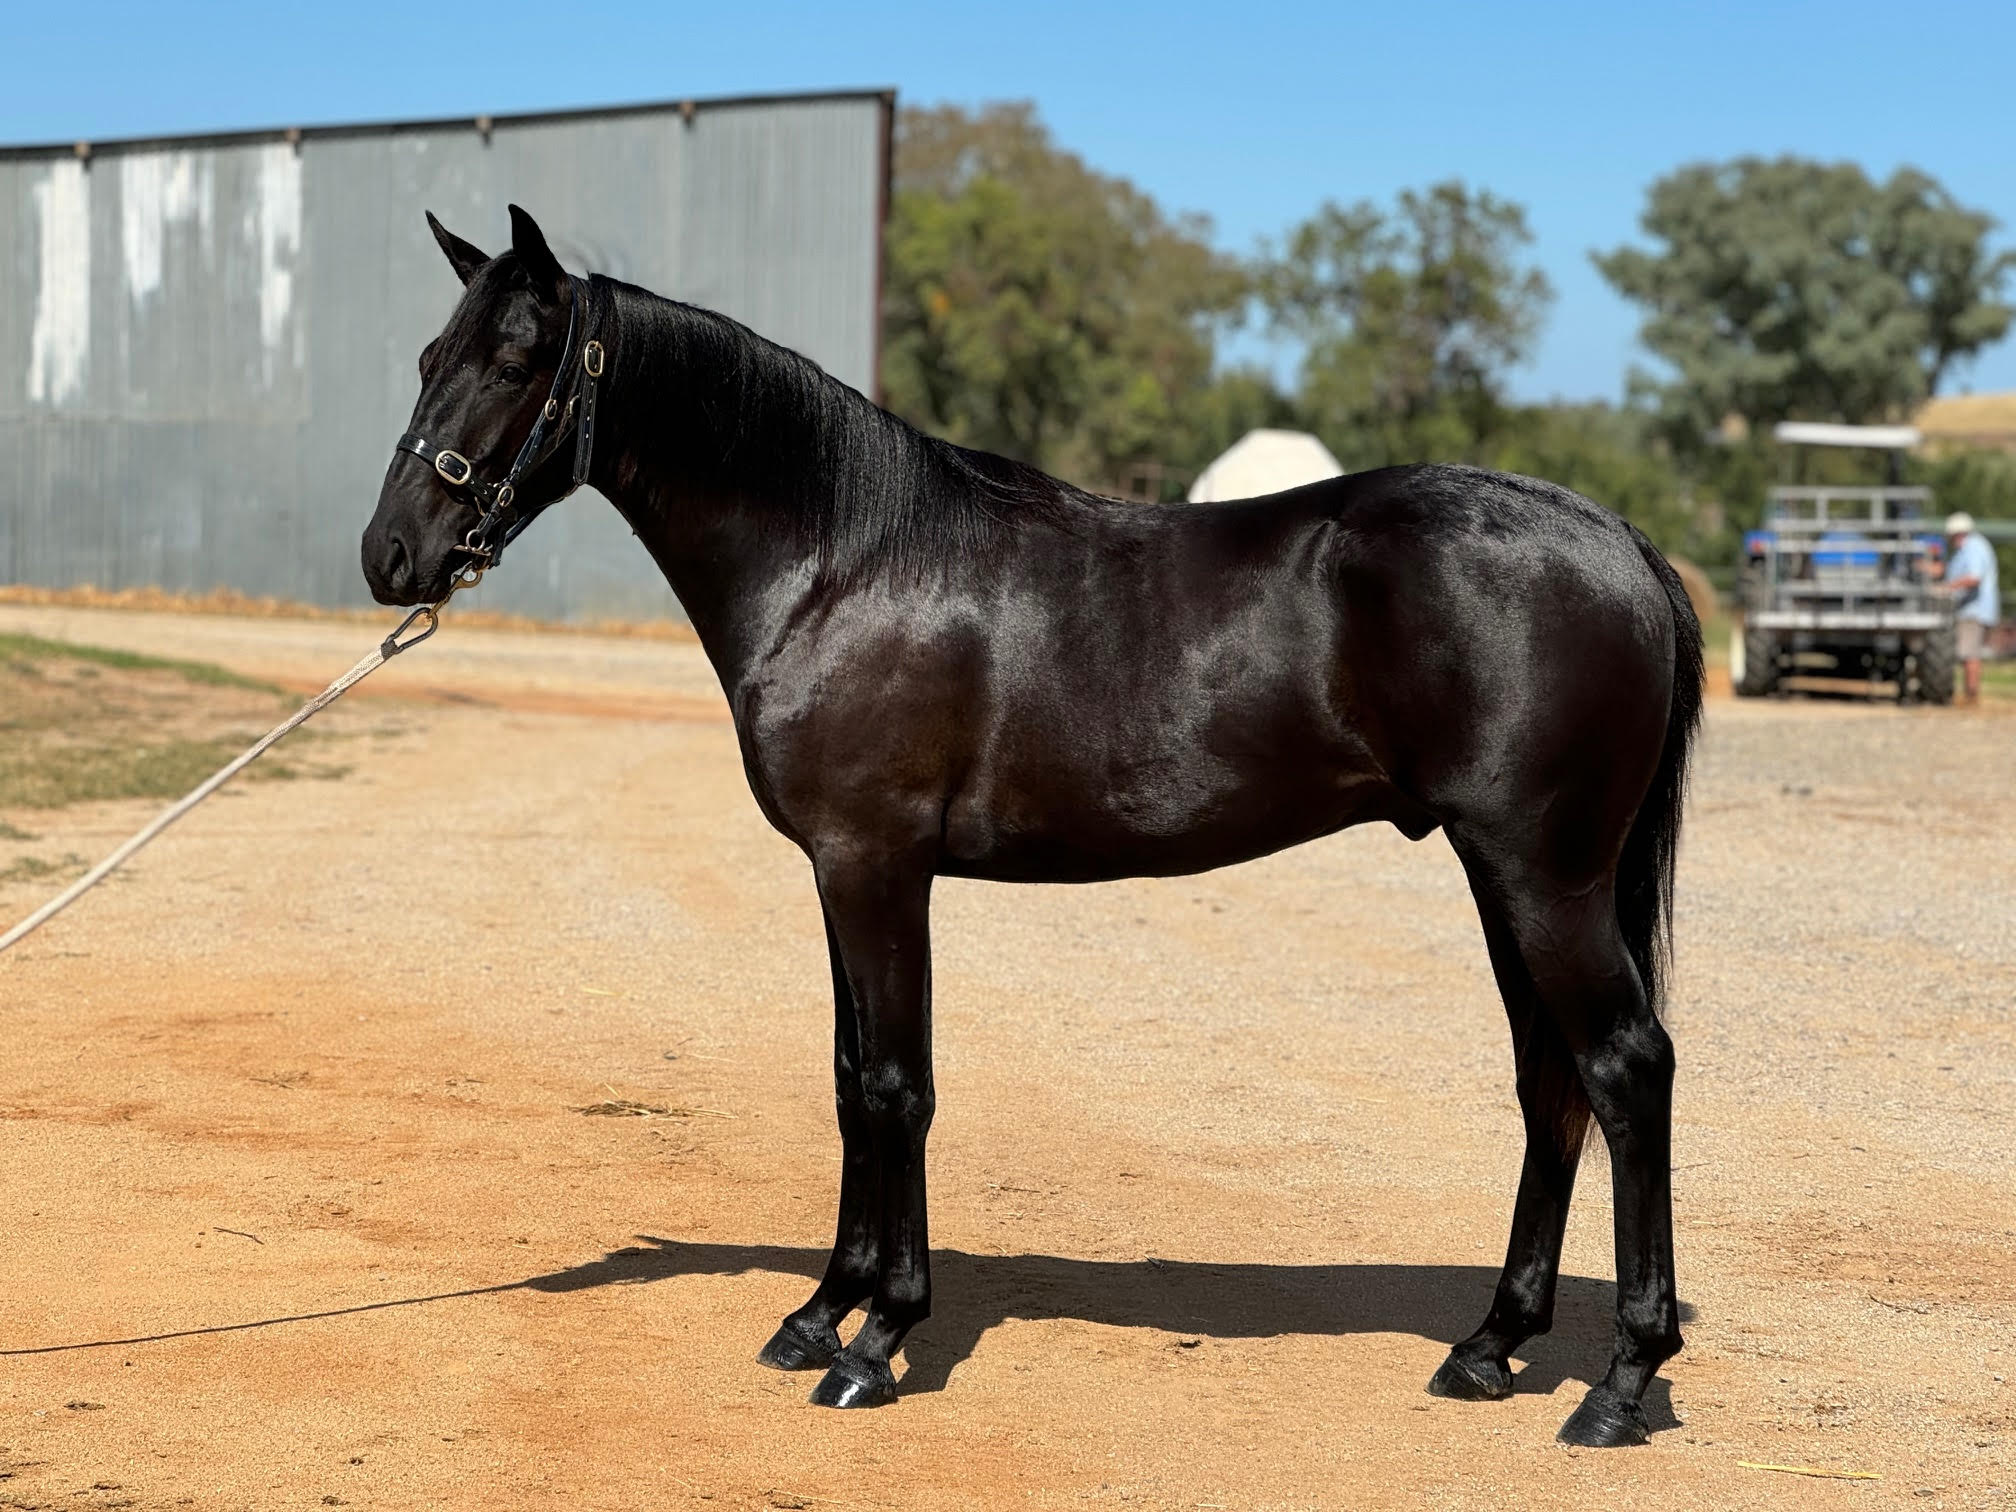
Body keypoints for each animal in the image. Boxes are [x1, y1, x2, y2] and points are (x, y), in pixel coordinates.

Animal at [361, 206, 1703, 1447]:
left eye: (516, 359)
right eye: (427, 352)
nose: (391, 557)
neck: (843, 563)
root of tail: (1620, 542)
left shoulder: (877, 867)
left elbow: (897, 1087)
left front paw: (879, 1340)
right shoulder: (839, 874)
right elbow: (849, 1080)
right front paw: (817, 1315)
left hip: (1545, 877)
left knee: (1626, 1069)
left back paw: (1621, 1383)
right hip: (1503, 876)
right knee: (1550, 1082)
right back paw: (1490, 1345)